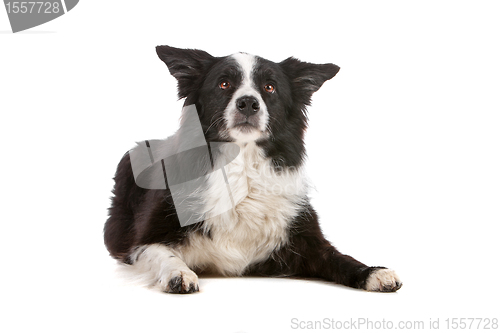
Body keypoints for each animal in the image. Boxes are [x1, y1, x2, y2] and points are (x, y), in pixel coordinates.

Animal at [104, 46, 402, 294]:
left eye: (269, 87)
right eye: (224, 83)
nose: (248, 102)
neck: (242, 166)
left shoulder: (305, 238)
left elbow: (340, 258)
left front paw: (374, 272)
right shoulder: (141, 241)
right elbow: (163, 254)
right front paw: (178, 273)